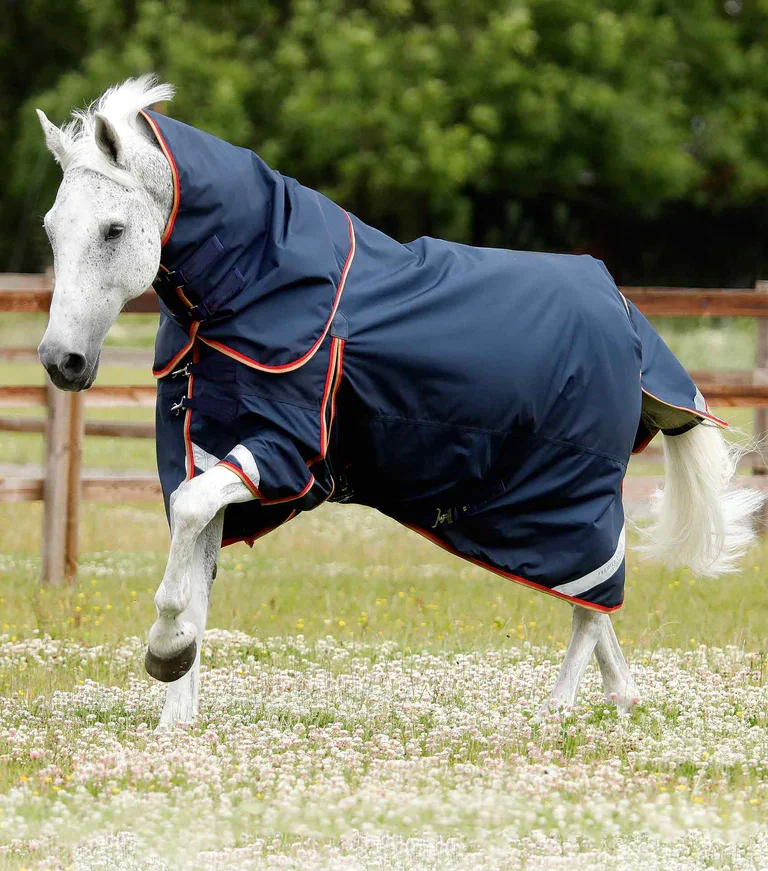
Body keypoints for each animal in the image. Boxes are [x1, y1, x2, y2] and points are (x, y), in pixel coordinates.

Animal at [36, 76, 760, 728]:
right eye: (51, 229)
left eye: (113, 229)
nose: (60, 360)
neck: (252, 284)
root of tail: (627, 317)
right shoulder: (212, 447)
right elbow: (193, 567)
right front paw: (175, 712)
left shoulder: (283, 451)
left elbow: (188, 525)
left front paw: (166, 653)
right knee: (596, 603)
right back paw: (620, 698)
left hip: (569, 497)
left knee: (592, 600)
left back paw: (553, 709)